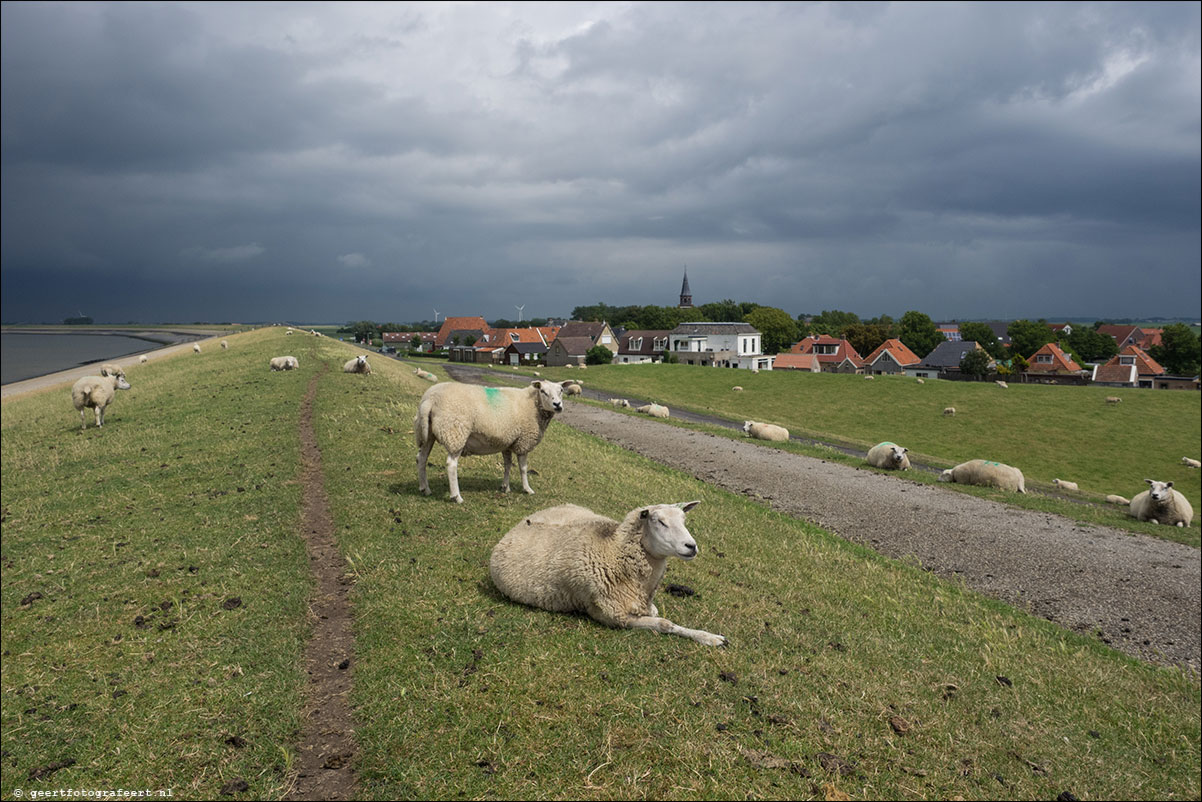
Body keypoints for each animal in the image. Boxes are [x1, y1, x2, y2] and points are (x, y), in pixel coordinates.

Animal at [415, 382, 569, 505]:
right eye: (543, 391)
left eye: (561, 390)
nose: (557, 405)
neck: (533, 404)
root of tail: (430, 399)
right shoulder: (523, 442)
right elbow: (523, 468)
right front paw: (527, 489)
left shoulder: (507, 442)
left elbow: (507, 465)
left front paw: (505, 487)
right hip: (455, 432)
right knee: (451, 465)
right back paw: (456, 497)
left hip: (427, 433)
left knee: (421, 458)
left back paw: (425, 489)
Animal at [485, 502, 721, 644]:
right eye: (660, 522)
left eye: (683, 520)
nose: (691, 546)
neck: (613, 550)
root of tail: (521, 522)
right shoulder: (616, 617)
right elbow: (665, 624)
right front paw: (709, 638)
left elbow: (656, 613)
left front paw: (709, 636)